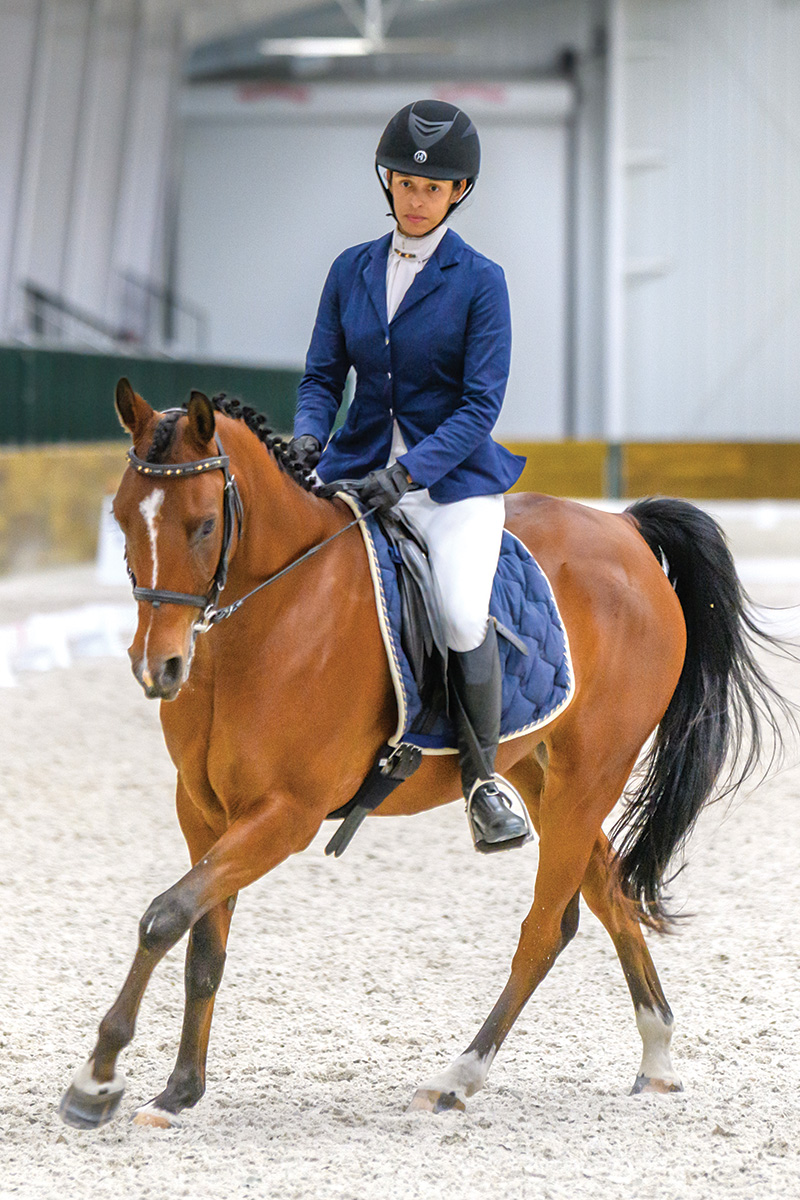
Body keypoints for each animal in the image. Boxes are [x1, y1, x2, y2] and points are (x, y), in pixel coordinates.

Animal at [59, 379, 791, 1128]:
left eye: (205, 524)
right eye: (122, 518)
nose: (159, 667)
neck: (267, 617)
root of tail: (626, 530)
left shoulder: (284, 816)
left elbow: (163, 917)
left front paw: (98, 1080)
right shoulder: (205, 811)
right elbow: (202, 943)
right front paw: (178, 1091)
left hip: (593, 773)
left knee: (546, 926)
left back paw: (457, 1078)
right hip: (543, 773)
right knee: (609, 895)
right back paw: (657, 1059)